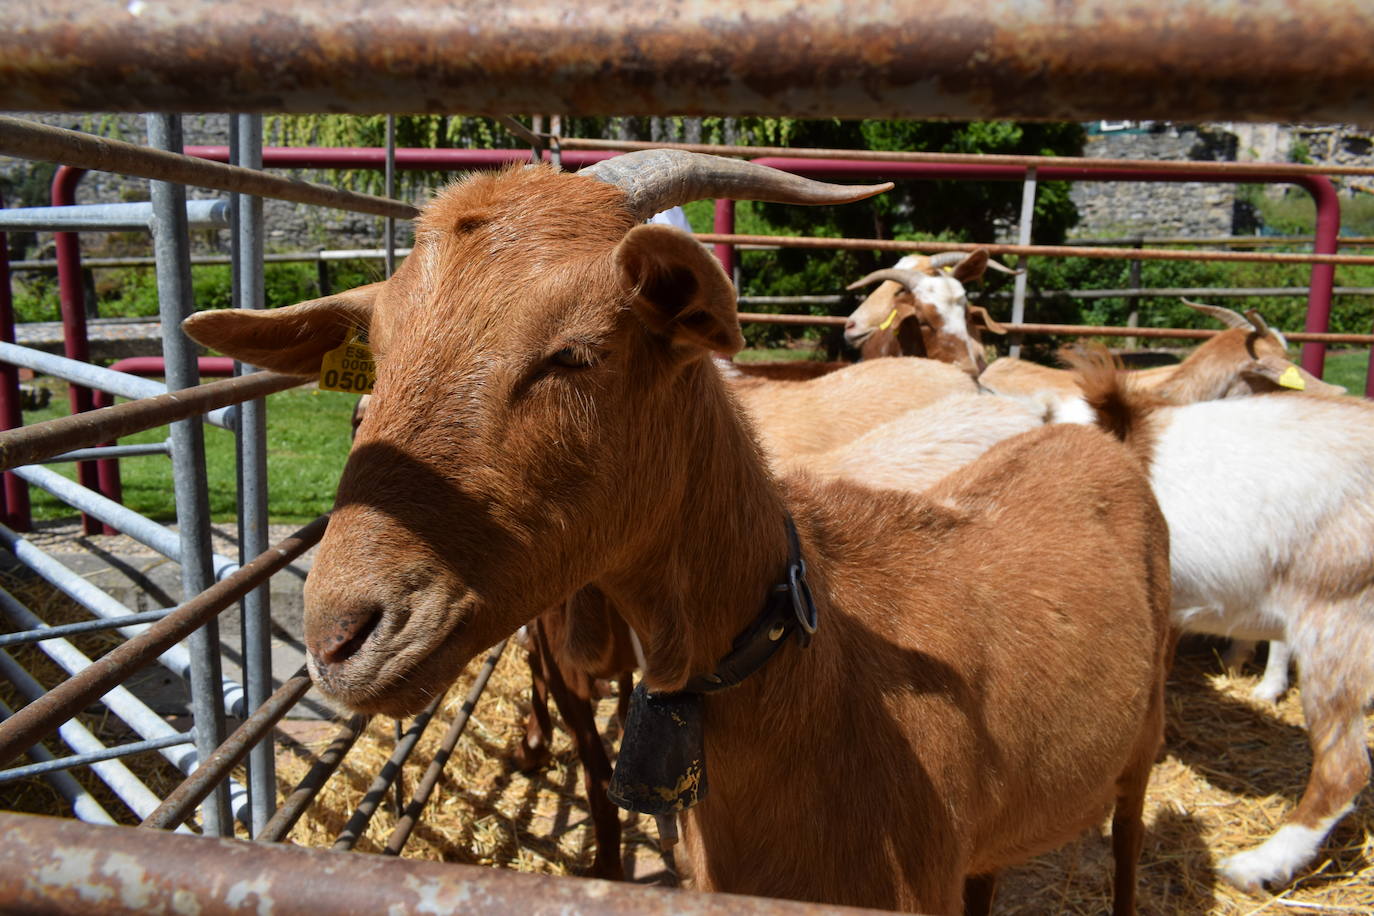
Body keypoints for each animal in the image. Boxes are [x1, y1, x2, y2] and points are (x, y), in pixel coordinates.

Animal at [185, 152, 1170, 916]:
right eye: (376, 361)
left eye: (576, 351)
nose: (339, 637)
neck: (823, 672)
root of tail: (1094, 437)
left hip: (1142, 744)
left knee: (1128, 838)